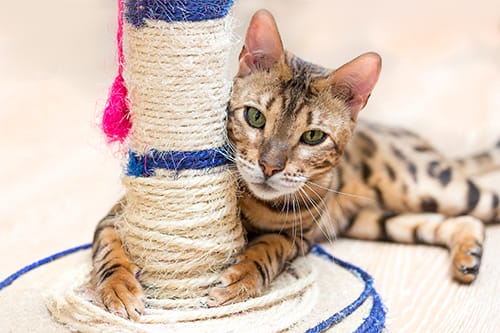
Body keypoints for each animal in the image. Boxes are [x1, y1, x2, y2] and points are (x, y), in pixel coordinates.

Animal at [92, 9, 498, 318]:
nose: (270, 166)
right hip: (377, 219)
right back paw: (468, 254)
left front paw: (241, 277)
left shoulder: (299, 237)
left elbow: (267, 249)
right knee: (455, 222)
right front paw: (118, 288)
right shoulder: (118, 215)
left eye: (313, 137)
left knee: (478, 208)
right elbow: (107, 247)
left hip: (433, 184)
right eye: (254, 117)